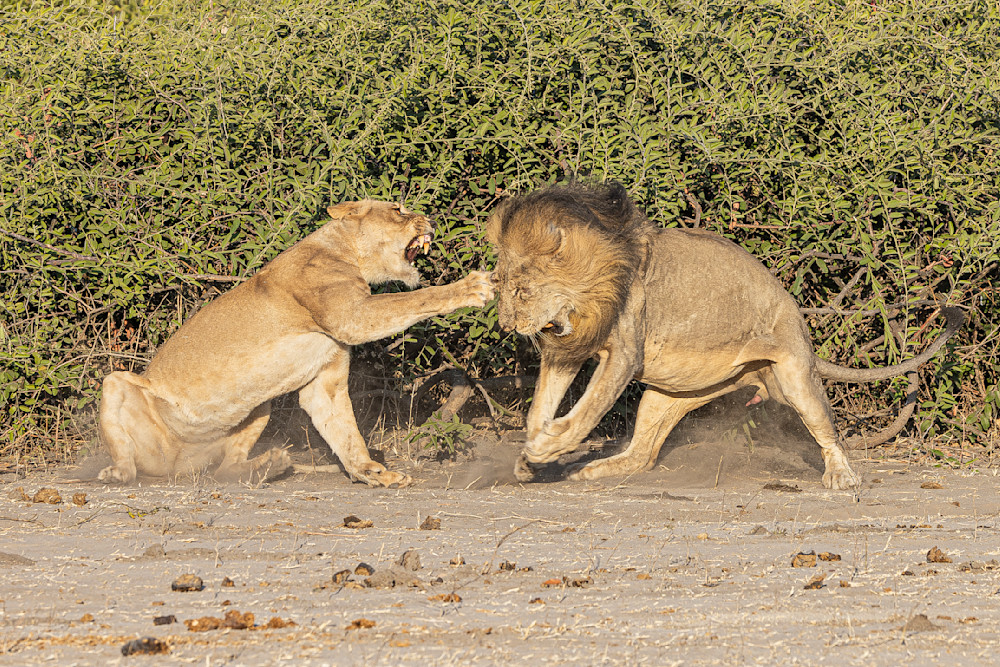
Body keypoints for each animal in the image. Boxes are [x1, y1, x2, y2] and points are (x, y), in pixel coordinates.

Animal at [97, 200, 494, 486]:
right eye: (399, 210)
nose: (430, 219)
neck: (345, 252)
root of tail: (177, 467)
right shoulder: (353, 315)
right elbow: (415, 299)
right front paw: (471, 288)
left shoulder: (326, 381)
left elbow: (345, 432)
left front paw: (370, 473)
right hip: (118, 385)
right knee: (127, 457)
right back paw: (115, 473)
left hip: (259, 406)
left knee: (224, 471)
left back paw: (270, 464)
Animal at [487, 182, 963, 490]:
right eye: (498, 285)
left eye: (522, 290)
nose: (507, 326)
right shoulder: (566, 349)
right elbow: (542, 404)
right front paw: (530, 456)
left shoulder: (623, 351)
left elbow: (588, 410)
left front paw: (545, 446)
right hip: (668, 396)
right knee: (643, 456)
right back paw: (590, 471)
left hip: (794, 375)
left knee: (829, 432)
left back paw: (842, 476)